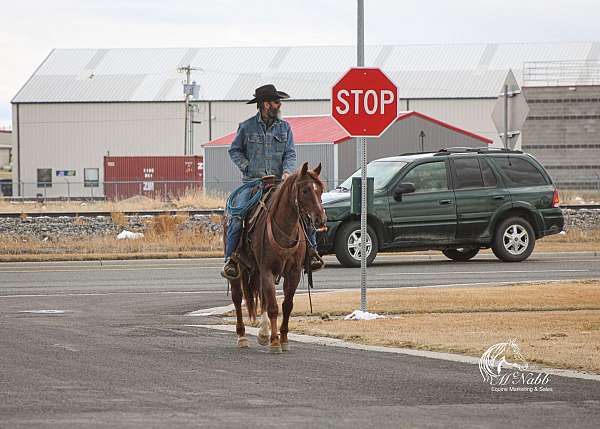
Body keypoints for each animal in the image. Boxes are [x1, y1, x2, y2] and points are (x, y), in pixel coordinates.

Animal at [229, 162, 326, 352]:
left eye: (320, 190)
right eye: (305, 190)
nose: (321, 219)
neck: (284, 230)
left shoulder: (293, 273)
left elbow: (286, 306)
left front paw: (284, 339)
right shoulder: (267, 270)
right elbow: (274, 307)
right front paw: (275, 341)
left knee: (263, 299)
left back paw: (263, 333)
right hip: (239, 269)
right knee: (237, 298)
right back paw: (242, 336)